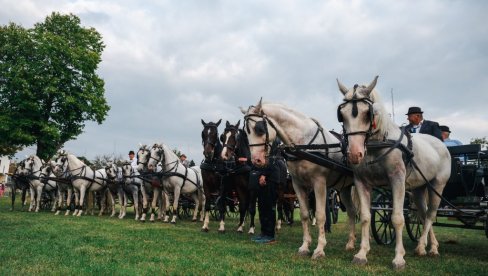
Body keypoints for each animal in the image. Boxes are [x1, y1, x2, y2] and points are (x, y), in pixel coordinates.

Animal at [242, 100, 356, 260]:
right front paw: (305, 246)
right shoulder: (297, 184)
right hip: (345, 188)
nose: (256, 160)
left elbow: (320, 215)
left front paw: (319, 249)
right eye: (246, 132)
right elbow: (304, 214)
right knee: (352, 212)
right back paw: (351, 243)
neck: (303, 141)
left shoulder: (319, 183)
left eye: (259, 129)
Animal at [336, 76, 450, 270]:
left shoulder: (397, 180)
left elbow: (397, 218)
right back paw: (429, 245)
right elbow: (365, 217)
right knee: (423, 213)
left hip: (437, 186)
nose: (354, 154)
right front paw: (361, 253)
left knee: (430, 214)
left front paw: (398, 258)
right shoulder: (361, 182)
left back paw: (426, 248)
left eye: (368, 113)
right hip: (419, 189)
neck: (377, 144)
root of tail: (440, 143)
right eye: (341, 114)